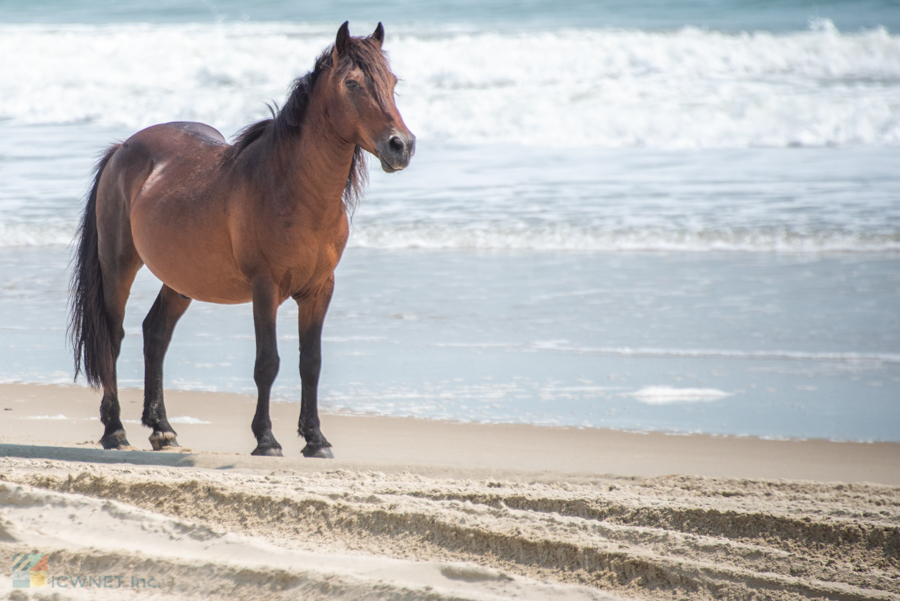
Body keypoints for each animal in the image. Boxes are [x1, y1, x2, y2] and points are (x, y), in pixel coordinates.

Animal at [68, 22, 416, 454]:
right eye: (352, 83)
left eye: (393, 81)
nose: (401, 145)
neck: (291, 190)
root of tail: (123, 148)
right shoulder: (265, 287)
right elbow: (267, 362)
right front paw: (266, 438)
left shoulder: (320, 289)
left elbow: (311, 363)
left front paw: (315, 439)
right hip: (118, 267)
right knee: (113, 339)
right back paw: (115, 430)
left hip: (181, 279)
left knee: (156, 334)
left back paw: (162, 428)